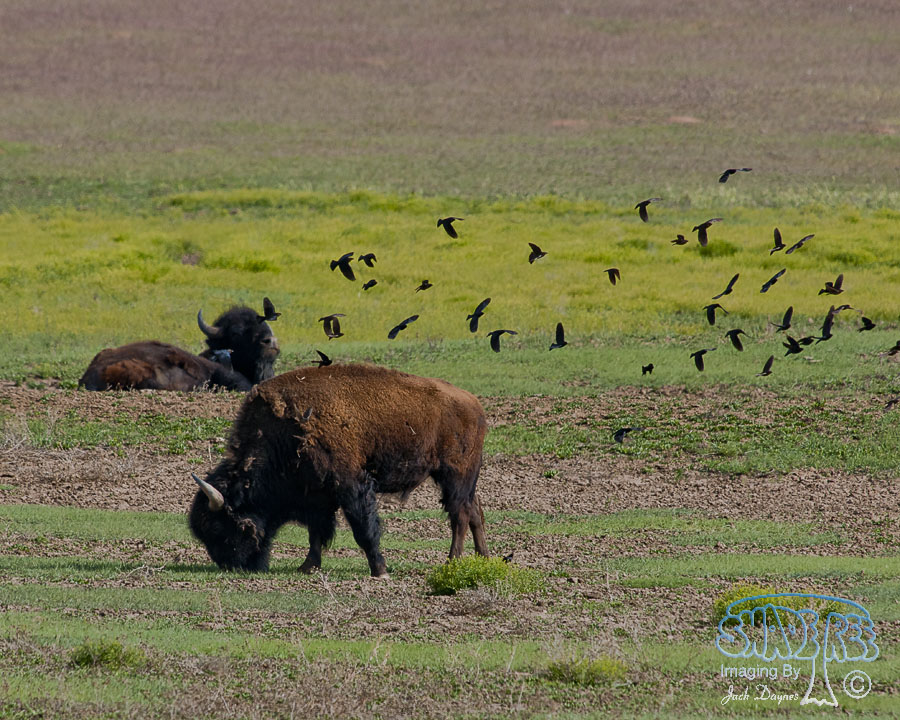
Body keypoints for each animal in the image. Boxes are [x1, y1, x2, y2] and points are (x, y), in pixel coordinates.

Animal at [189, 364, 489, 577]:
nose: (234, 566)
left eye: (219, 528)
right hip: (465, 480)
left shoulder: (352, 487)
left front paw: (380, 571)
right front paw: (307, 567)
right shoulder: (316, 496)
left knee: (460, 515)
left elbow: (362, 529)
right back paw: (484, 558)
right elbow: (316, 532)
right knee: (475, 511)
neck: (279, 436)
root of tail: (474, 404)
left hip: (454, 475)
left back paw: (452, 561)